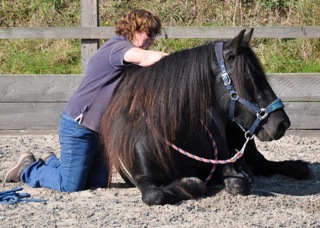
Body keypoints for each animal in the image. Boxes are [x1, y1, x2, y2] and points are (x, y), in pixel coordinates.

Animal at [100, 28, 310, 205]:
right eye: (248, 78)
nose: (282, 123)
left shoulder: (224, 163)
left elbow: (238, 183)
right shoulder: (143, 179)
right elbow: (155, 195)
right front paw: (190, 183)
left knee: (263, 164)